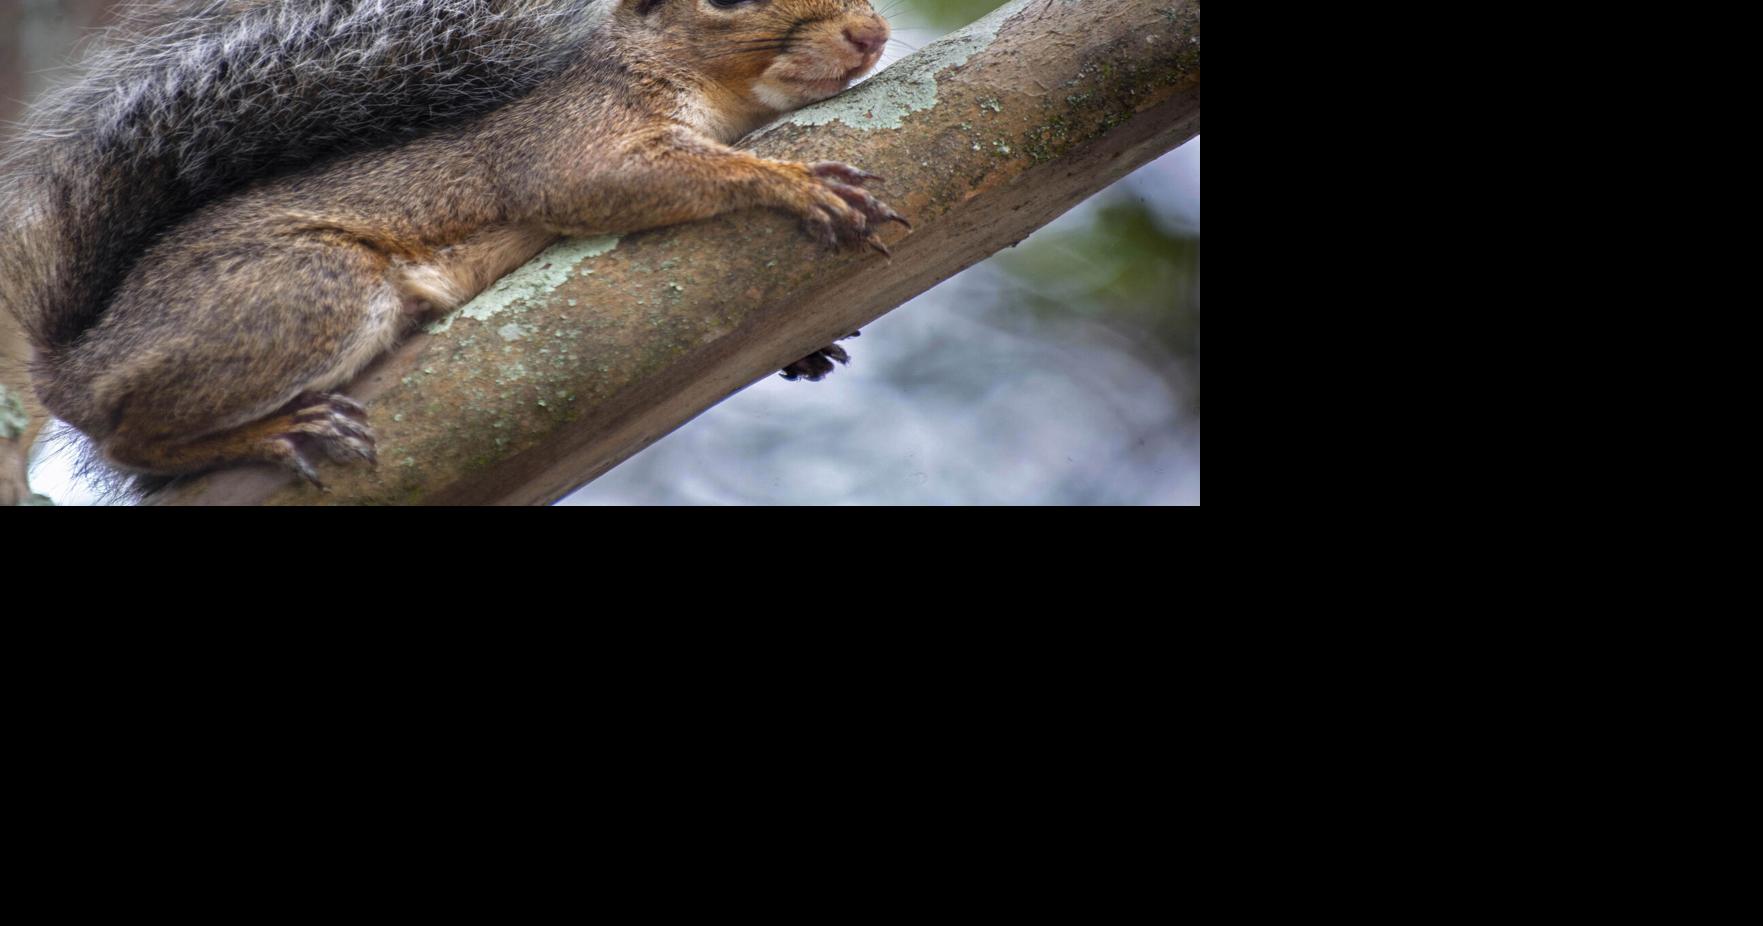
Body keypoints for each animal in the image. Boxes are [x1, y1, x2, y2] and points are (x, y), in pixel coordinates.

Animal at [0, 0, 904, 492]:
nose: (868, 33)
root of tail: (74, 365)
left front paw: (808, 348)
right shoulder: (572, 135)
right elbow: (593, 180)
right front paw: (794, 181)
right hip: (308, 288)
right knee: (133, 438)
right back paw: (272, 433)